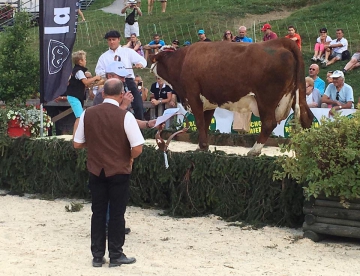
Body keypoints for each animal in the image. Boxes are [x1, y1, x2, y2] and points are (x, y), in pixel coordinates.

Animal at [150, 37, 314, 156]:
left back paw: (254, 150)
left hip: (266, 99)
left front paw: (202, 146)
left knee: (269, 123)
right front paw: (203, 147)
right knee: (307, 118)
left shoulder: (193, 95)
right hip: (297, 94)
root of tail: (282, 42)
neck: (181, 61)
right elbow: (206, 122)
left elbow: (200, 121)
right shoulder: (209, 101)